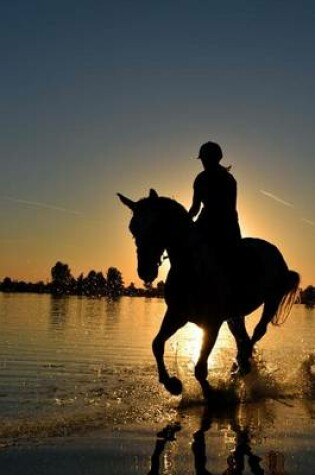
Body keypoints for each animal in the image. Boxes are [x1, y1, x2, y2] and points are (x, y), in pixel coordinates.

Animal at [118, 188, 302, 400]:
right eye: (133, 229)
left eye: (156, 226)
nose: (145, 271)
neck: (192, 266)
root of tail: (274, 251)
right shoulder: (177, 315)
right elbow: (157, 344)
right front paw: (173, 385)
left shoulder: (212, 323)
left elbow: (200, 369)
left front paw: (213, 395)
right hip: (235, 316)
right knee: (242, 339)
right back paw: (240, 368)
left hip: (272, 300)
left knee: (257, 332)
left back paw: (240, 368)